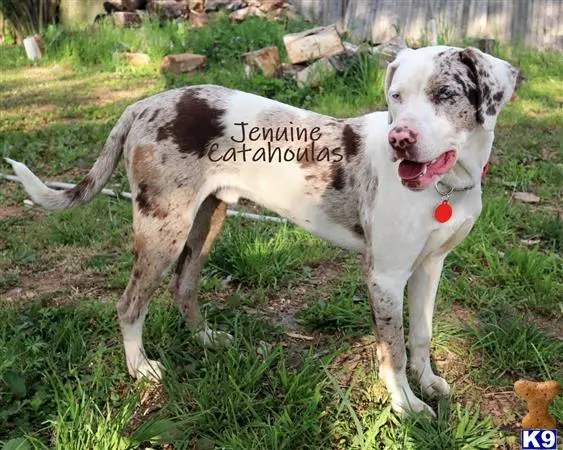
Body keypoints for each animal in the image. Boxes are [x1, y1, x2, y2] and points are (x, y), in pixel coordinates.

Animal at [6, 44, 524, 414]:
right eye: (396, 97)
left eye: (446, 95)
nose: (400, 139)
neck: (448, 186)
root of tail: (144, 102)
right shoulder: (385, 276)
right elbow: (392, 348)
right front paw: (405, 405)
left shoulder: (430, 266)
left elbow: (421, 334)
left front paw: (429, 383)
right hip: (163, 227)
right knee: (130, 302)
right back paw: (140, 368)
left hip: (207, 219)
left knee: (183, 286)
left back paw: (206, 340)